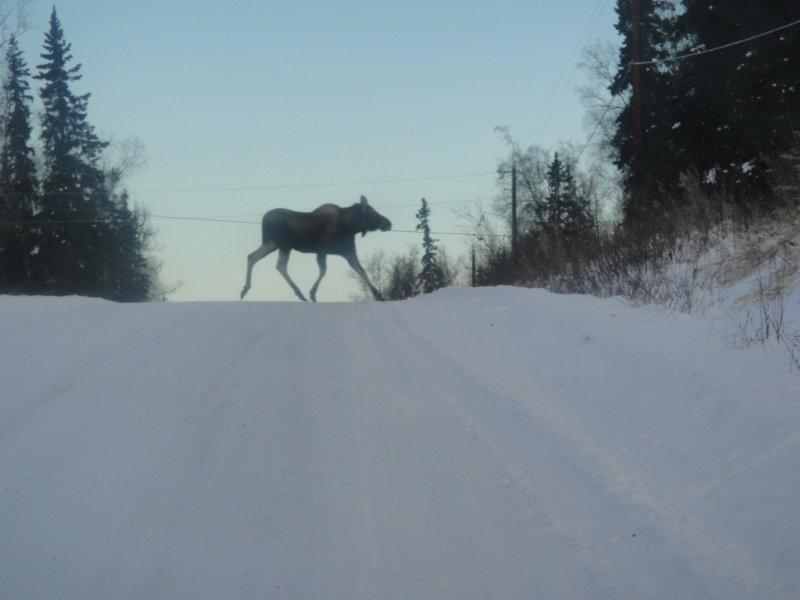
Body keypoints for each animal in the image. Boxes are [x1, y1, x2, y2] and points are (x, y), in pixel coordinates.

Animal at [239, 196, 392, 302]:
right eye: (372, 211)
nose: (388, 223)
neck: (350, 226)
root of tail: (264, 220)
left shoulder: (348, 252)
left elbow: (361, 270)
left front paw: (378, 295)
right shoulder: (322, 250)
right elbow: (323, 270)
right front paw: (312, 293)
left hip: (272, 244)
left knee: (253, 257)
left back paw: (245, 289)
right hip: (284, 245)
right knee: (280, 265)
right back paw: (300, 293)